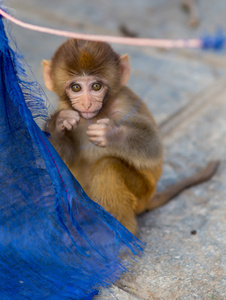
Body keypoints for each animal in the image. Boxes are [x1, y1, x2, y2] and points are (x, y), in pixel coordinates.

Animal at [42, 38, 219, 234]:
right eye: (76, 87)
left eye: (96, 86)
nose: (87, 103)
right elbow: (66, 156)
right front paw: (58, 125)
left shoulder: (127, 103)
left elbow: (153, 146)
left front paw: (111, 133)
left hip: (142, 193)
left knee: (108, 168)